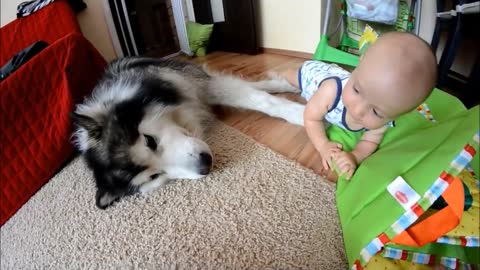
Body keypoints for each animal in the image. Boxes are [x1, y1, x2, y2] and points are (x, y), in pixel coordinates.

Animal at [71, 57, 304, 209]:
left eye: (149, 140)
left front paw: (302, 115)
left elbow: (262, 100)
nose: (205, 165)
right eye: (155, 176)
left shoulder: (192, 85)